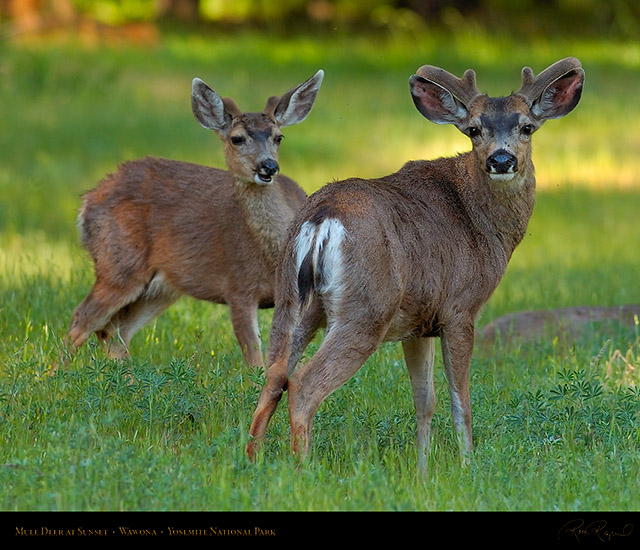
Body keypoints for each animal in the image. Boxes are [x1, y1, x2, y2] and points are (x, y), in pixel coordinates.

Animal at [67, 71, 324, 368]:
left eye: (278, 137)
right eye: (237, 139)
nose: (268, 166)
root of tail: (88, 200)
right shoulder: (237, 285)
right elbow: (254, 358)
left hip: (161, 286)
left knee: (115, 332)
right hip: (118, 263)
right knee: (82, 319)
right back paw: (53, 374)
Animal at [246, 57, 584, 470]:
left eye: (527, 127)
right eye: (474, 129)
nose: (501, 159)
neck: (484, 224)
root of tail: (322, 218)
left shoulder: (418, 322)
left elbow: (425, 401)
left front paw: (422, 469)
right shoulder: (459, 308)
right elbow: (460, 401)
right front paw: (468, 463)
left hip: (294, 300)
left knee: (274, 377)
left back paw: (252, 461)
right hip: (367, 307)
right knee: (304, 385)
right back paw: (303, 468)